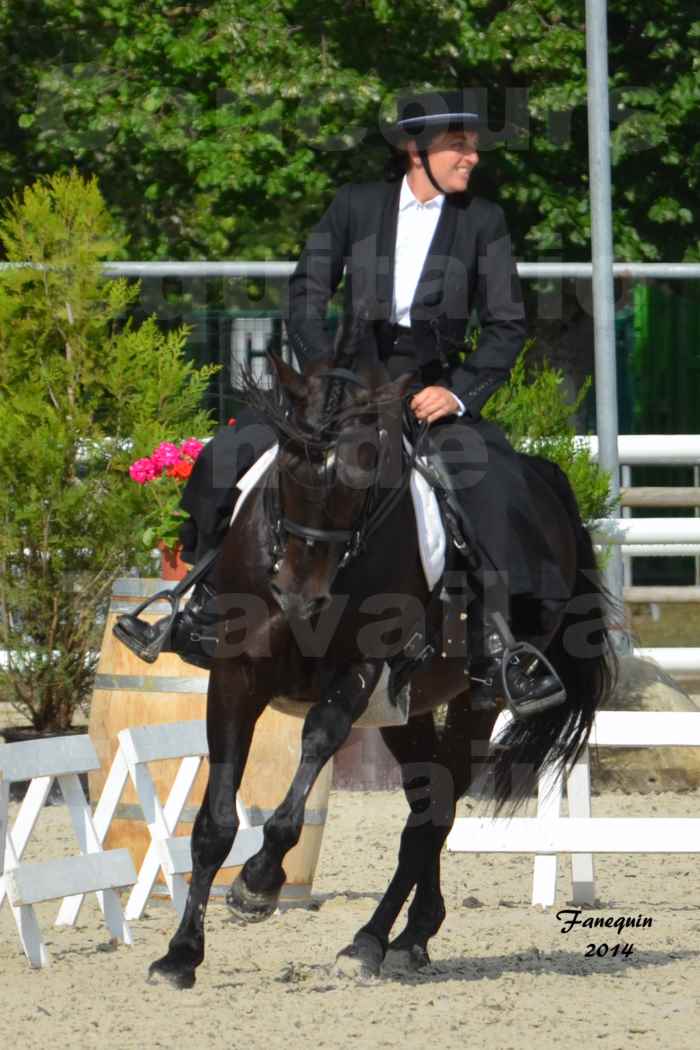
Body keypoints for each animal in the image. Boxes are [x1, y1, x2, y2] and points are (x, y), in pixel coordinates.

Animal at [146, 348, 612, 986]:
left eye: (362, 479)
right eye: (289, 466)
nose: (299, 594)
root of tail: (545, 480)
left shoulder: (362, 671)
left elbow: (316, 746)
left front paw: (259, 883)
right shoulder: (237, 675)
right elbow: (214, 820)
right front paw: (180, 955)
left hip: (475, 700)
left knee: (435, 811)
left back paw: (372, 941)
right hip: (405, 711)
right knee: (426, 801)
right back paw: (409, 934)